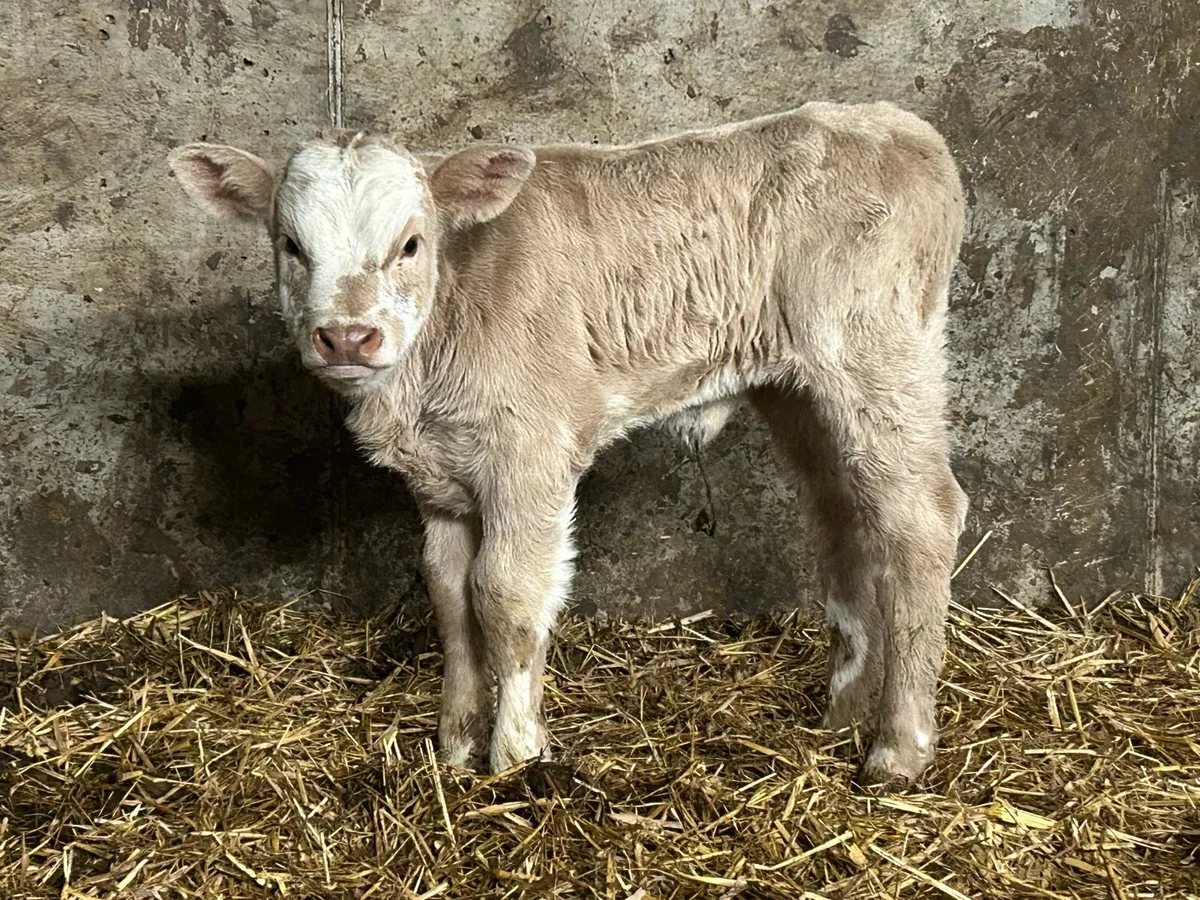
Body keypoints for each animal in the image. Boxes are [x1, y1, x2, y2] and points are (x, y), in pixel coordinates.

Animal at [167, 100, 968, 788]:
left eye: (411, 245)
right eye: (291, 246)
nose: (346, 337)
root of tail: (894, 124)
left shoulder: (530, 454)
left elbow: (504, 594)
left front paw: (517, 755)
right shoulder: (439, 483)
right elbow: (447, 593)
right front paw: (453, 746)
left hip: (877, 356)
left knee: (922, 517)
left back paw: (897, 750)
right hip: (800, 392)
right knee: (847, 519)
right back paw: (837, 720)